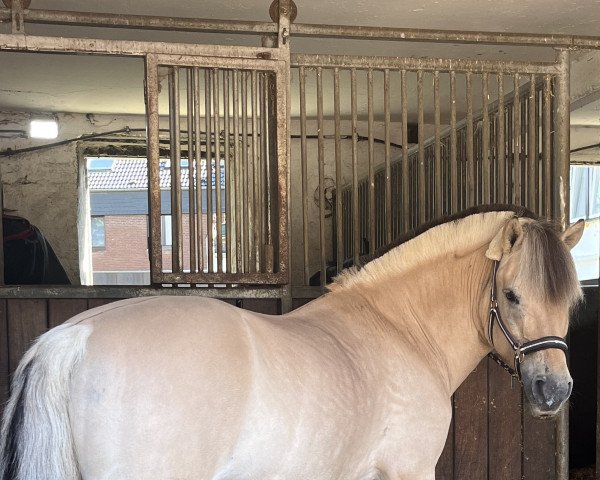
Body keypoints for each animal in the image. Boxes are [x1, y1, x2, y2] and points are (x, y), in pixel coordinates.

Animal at [0, 206, 584, 480]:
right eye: (511, 295)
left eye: (571, 299)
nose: (553, 392)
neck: (400, 328)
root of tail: (72, 338)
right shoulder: (409, 469)